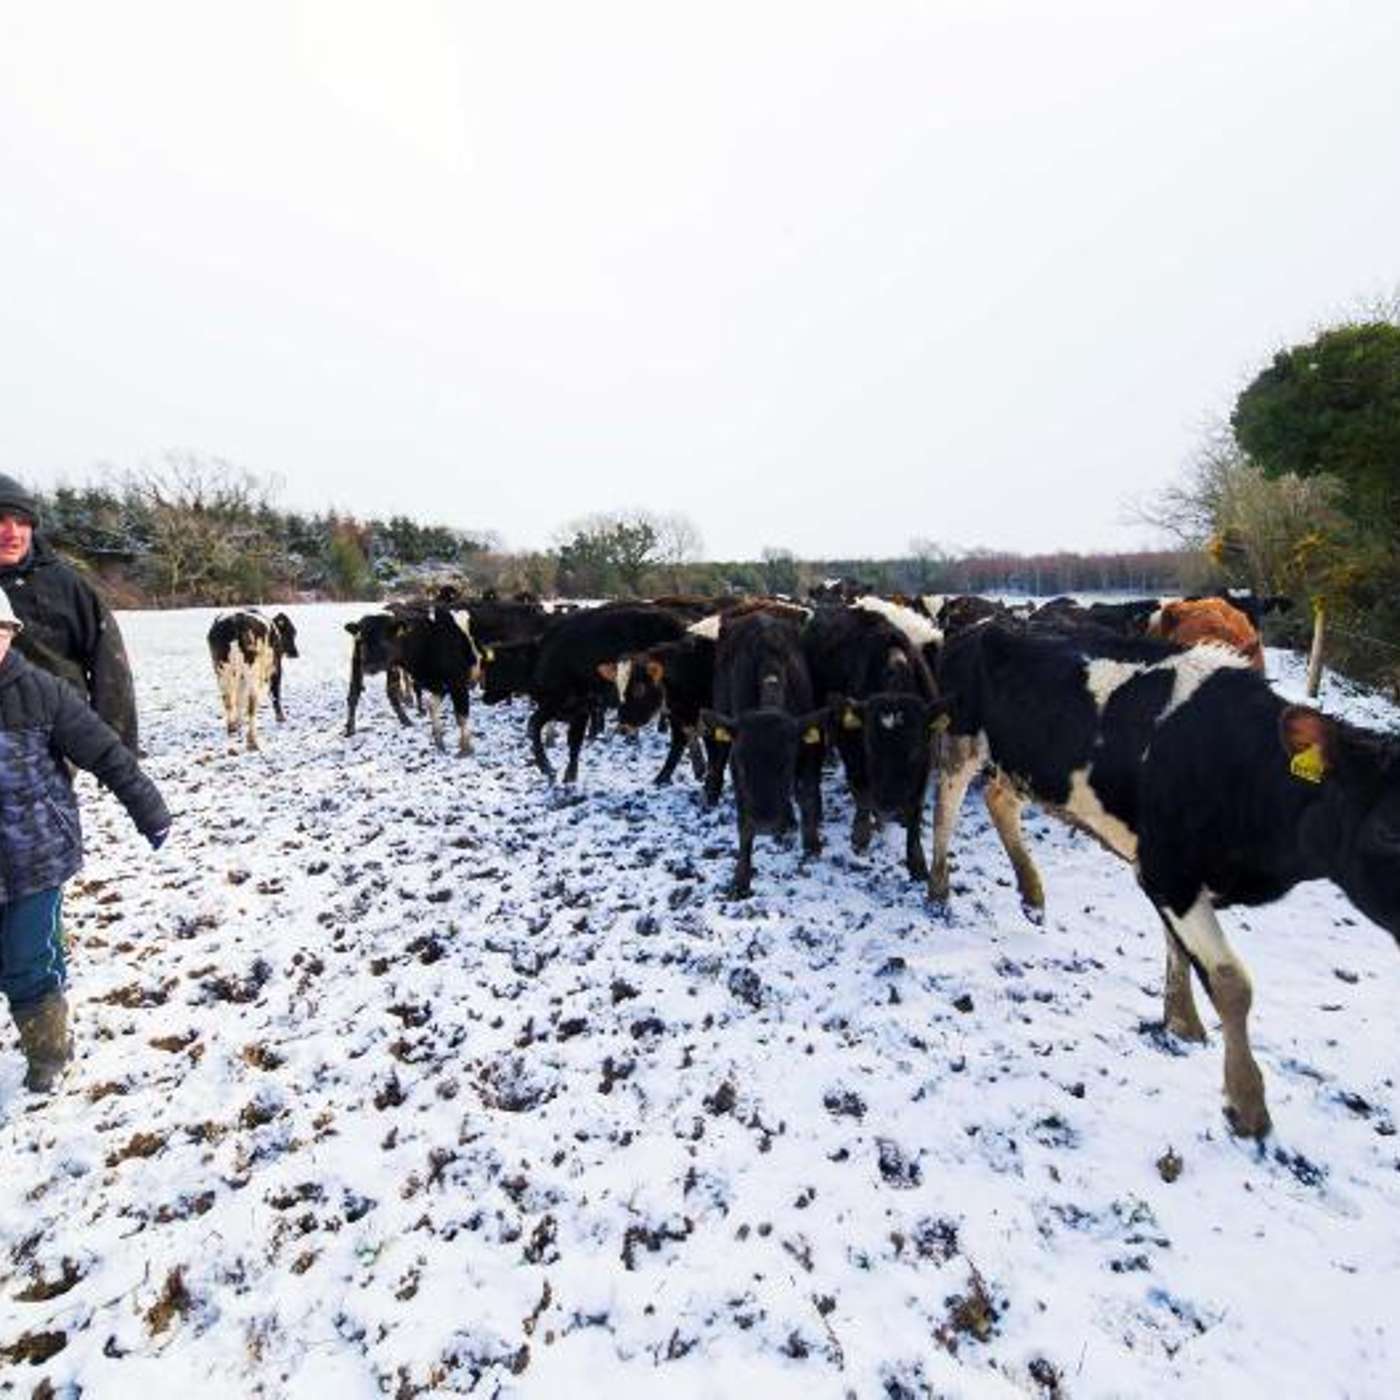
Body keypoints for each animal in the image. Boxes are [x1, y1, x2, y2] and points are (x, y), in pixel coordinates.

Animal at [207, 610, 298, 751]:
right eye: (292, 632)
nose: (295, 653)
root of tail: (235, 620)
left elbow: (239, 699)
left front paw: (238, 722)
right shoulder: (276, 668)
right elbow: (275, 694)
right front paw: (280, 717)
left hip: (221, 670)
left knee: (228, 700)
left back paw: (232, 728)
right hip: (252, 672)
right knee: (251, 704)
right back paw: (252, 741)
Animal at [344, 606, 481, 753]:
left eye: (383, 640)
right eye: (362, 641)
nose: (368, 666)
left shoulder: (453, 682)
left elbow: (455, 712)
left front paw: (458, 745)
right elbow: (447, 710)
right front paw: (462, 747)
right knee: (359, 693)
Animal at [699, 611, 827, 897]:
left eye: (787, 763)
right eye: (743, 765)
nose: (766, 824)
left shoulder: (809, 746)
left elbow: (808, 793)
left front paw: (811, 843)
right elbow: (744, 824)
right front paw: (740, 879)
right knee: (717, 756)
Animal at [931, 621, 1400, 1138]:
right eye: (1387, 830)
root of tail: (980, 626)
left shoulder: (1169, 875)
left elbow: (1179, 948)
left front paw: (1181, 1021)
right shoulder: (1168, 871)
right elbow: (1233, 984)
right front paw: (1246, 1102)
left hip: (1029, 764)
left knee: (999, 800)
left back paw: (1032, 893)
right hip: (959, 737)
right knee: (946, 808)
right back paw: (938, 889)